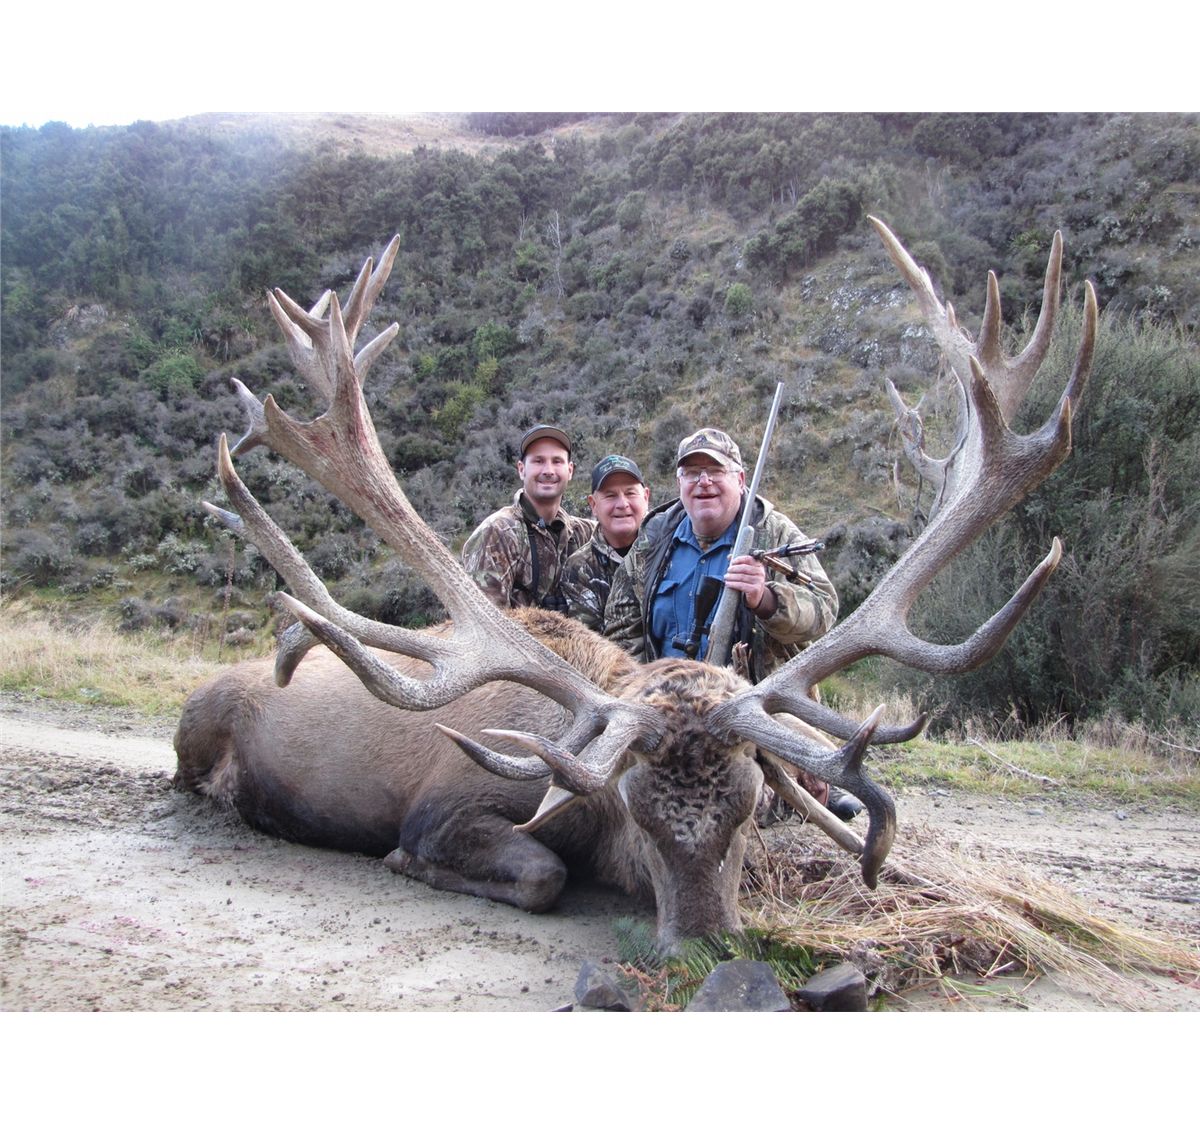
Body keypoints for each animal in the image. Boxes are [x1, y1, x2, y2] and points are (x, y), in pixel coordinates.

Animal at [174, 217, 1096, 953]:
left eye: (748, 809)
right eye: (637, 814)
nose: (704, 943)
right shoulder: (447, 803)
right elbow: (537, 871)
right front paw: (416, 864)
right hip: (195, 721)